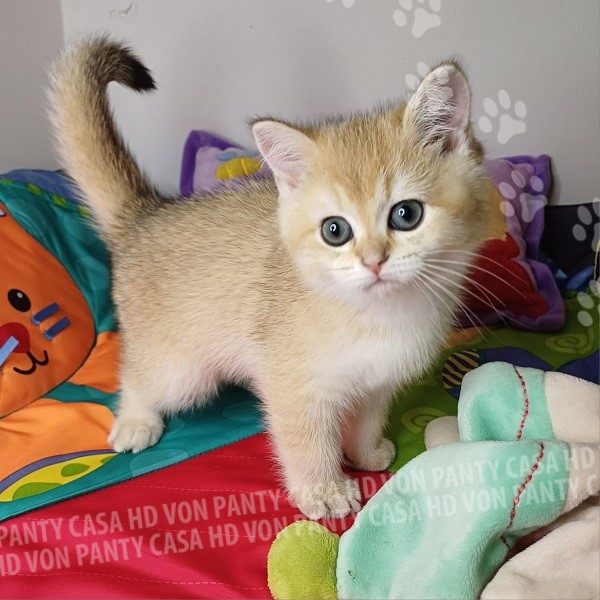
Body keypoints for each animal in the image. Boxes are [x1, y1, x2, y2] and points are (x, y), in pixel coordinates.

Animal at [49, 35, 490, 519]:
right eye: (335, 231)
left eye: (406, 215)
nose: (374, 262)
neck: (377, 314)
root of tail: (145, 214)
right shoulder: (293, 385)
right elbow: (306, 442)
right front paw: (323, 490)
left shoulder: (377, 384)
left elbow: (365, 419)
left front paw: (365, 452)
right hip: (181, 372)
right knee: (135, 375)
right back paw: (134, 421)